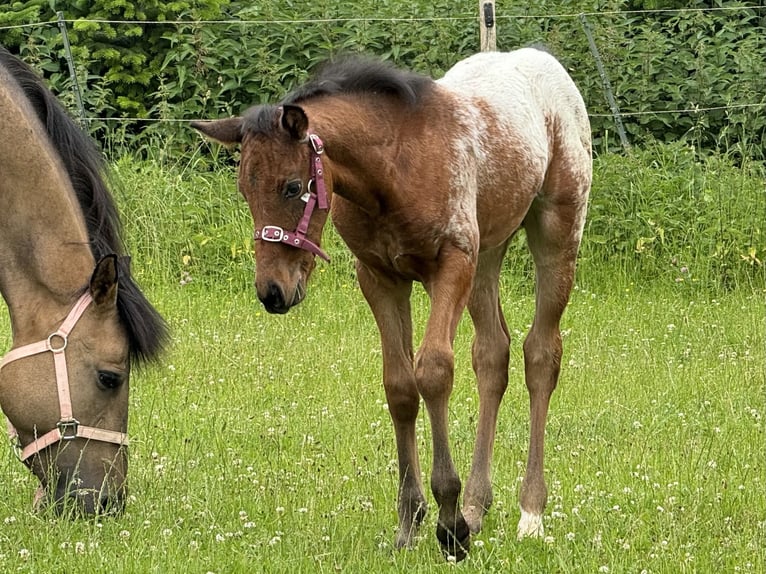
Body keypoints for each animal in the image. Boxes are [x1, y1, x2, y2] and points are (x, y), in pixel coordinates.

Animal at [192, 49, 592, 564]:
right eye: (245, 190)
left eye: (292, 187)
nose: (273, 292)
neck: (393, 168)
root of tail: (545, 63)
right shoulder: (380, 278)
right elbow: (400, 386)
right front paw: (411, 523)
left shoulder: (451, 264)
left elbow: (434, 372)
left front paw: (449, 525)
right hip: (488, 254)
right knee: (492, 354)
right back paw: (477, 508)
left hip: (556, 231)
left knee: (541, 354)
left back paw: (530, 514)